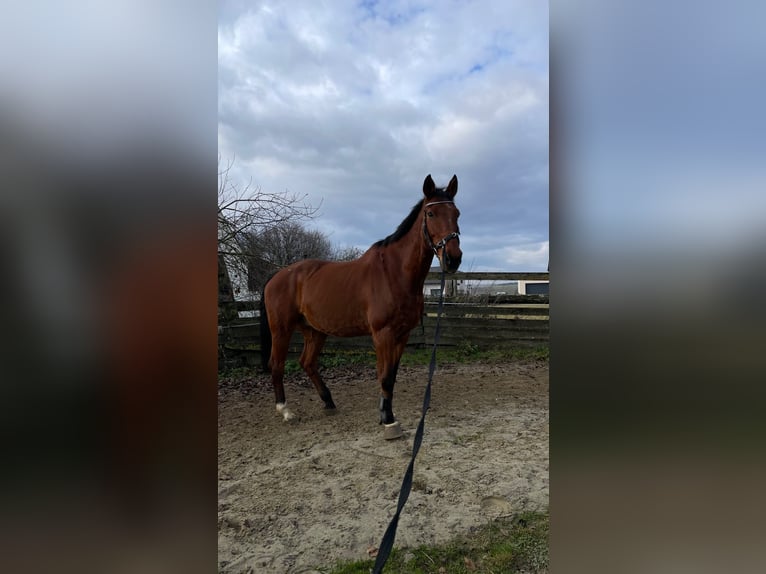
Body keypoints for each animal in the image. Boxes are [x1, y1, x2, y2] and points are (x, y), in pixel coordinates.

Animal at [260, 174, 462, 438]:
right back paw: (285, 410)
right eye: (431, 214)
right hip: (282, 329)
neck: (394, 273)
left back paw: (328, 402)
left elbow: (391, 375)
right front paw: (389, 420)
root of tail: (276, 276)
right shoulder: (383, 334)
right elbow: (384, 376)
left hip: (314, 331)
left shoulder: (402, 335)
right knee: (277, 365)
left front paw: (384, 414)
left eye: (457, 213)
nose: (453, 258)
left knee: (307, 362)